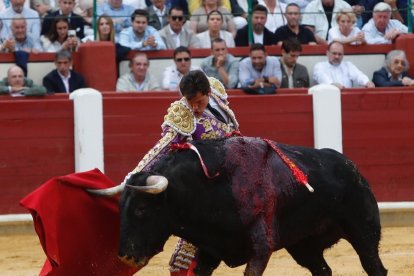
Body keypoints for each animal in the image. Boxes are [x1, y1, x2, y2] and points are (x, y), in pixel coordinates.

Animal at [118, 137, 386, 274]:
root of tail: (353, 168)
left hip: (364, 232)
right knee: (322, 270)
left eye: (141, 209)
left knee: (374, 267)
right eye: (122, 210)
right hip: (303, 246)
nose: (125, 256)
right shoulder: (209, 251)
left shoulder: (260, 248)